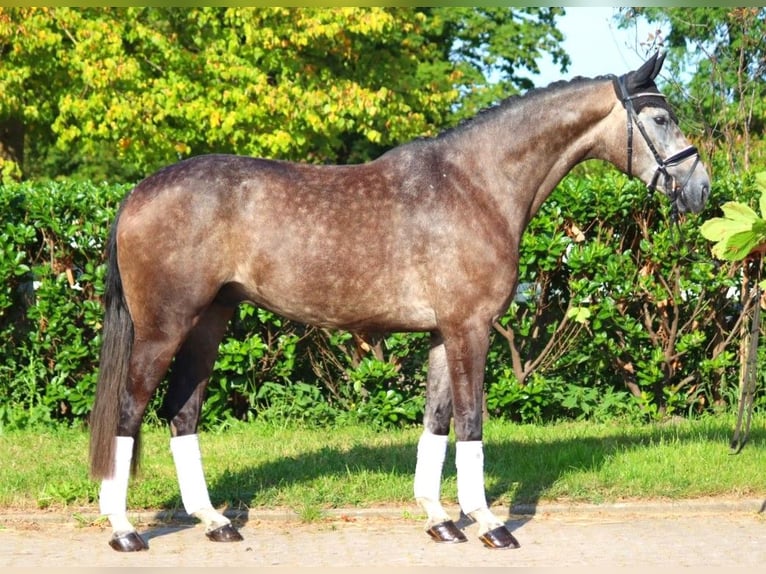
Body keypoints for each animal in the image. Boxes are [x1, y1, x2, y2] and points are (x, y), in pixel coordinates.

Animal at [87, 53, 712, 552]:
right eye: (660, 118)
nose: (701, 189)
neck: (477, 186)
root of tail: (138, 193)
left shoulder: (443, 333)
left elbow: (436, 421)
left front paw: (441, 521)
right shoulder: (470, 328)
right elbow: (471, 422)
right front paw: (489, 523)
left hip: (208, 322)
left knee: (181, 412)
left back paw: (215, 522)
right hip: (165, 328)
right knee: (129, 410)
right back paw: (124, 530)